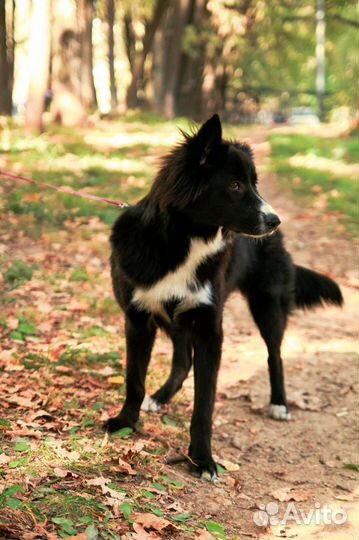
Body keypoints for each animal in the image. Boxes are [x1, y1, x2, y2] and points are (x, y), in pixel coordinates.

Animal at [105, 114, 344, 480]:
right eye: (235, 186)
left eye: (255, 184)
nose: (275, 220)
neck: (184, 243)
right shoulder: (138, 320)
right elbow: (134, 379)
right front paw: (125, 422)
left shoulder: (209, 329)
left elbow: (204, 405)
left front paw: (202, 458)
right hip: (178, 320)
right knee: (182, 360)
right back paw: (161, 396)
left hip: (267, 307)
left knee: (274, 356)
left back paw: (279, 404)